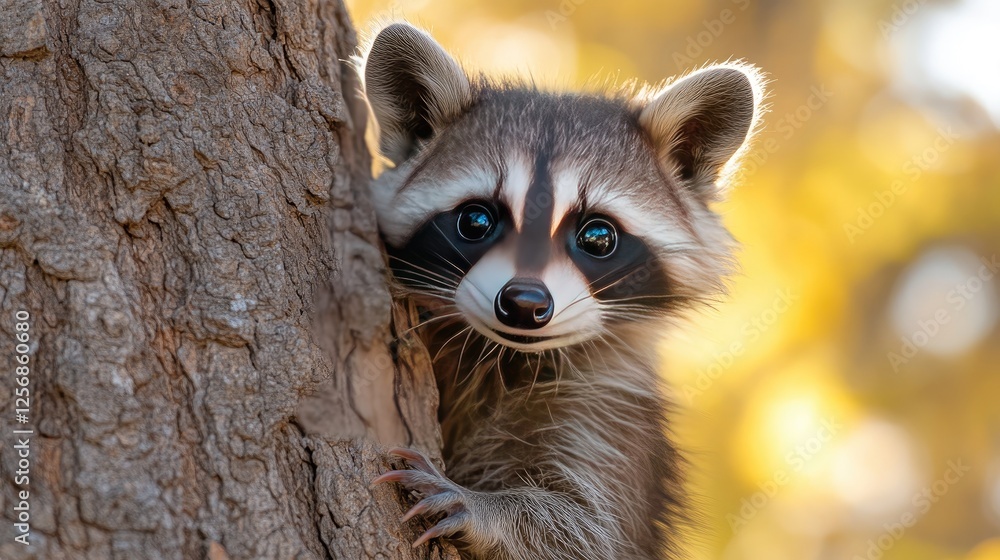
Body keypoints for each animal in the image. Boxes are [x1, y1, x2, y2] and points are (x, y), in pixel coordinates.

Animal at [360, 22, 764, 560]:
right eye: (475, 221)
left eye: (598, 236)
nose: (523, 303)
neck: (503, 355)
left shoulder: (609, 420)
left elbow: (587, 529)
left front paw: (486, 510)